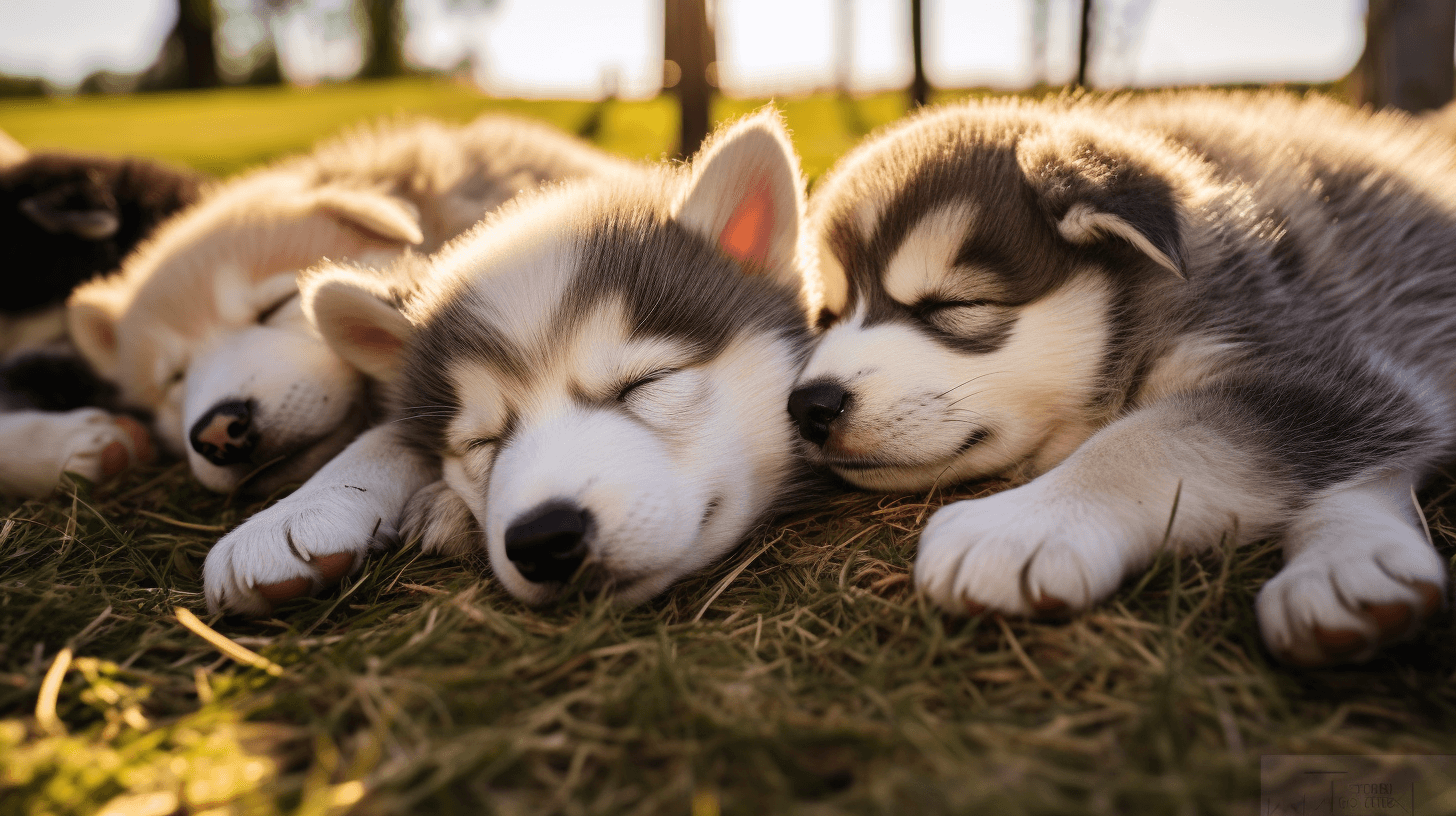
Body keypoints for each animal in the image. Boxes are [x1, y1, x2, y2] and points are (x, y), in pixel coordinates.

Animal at [792, 92, 1456, 667]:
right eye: (826, 316)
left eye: (952, 305)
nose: (807, 406)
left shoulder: (1314, 358)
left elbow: (1150, 438)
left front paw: (1026, 523)